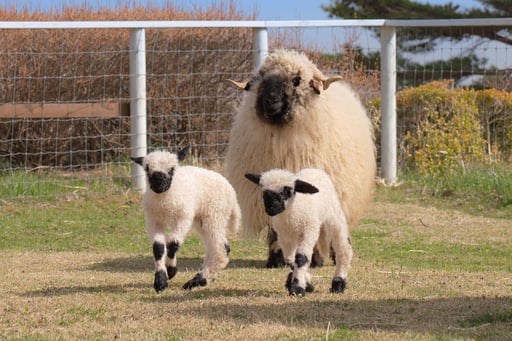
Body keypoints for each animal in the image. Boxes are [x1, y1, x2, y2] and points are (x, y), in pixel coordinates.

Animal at [132, 145, 240, 290]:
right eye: (147, 169)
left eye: (172, 169)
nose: (158, 184)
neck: (164, 201)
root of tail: (232, 194)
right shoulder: (153, 220)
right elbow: (158, 247)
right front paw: (160, 281)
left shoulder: (182, 217)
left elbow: (172, 244)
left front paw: (170, 271)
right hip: (202, 220)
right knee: (213, 247)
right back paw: (204, 278)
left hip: (215, 215)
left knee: (221, 249)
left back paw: (198, 280)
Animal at [226, 49, 374, 266]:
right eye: (262, 77)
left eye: (296, 80)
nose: (270, 101)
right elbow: (276, 226)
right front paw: (277, 258)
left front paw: (314, 257)